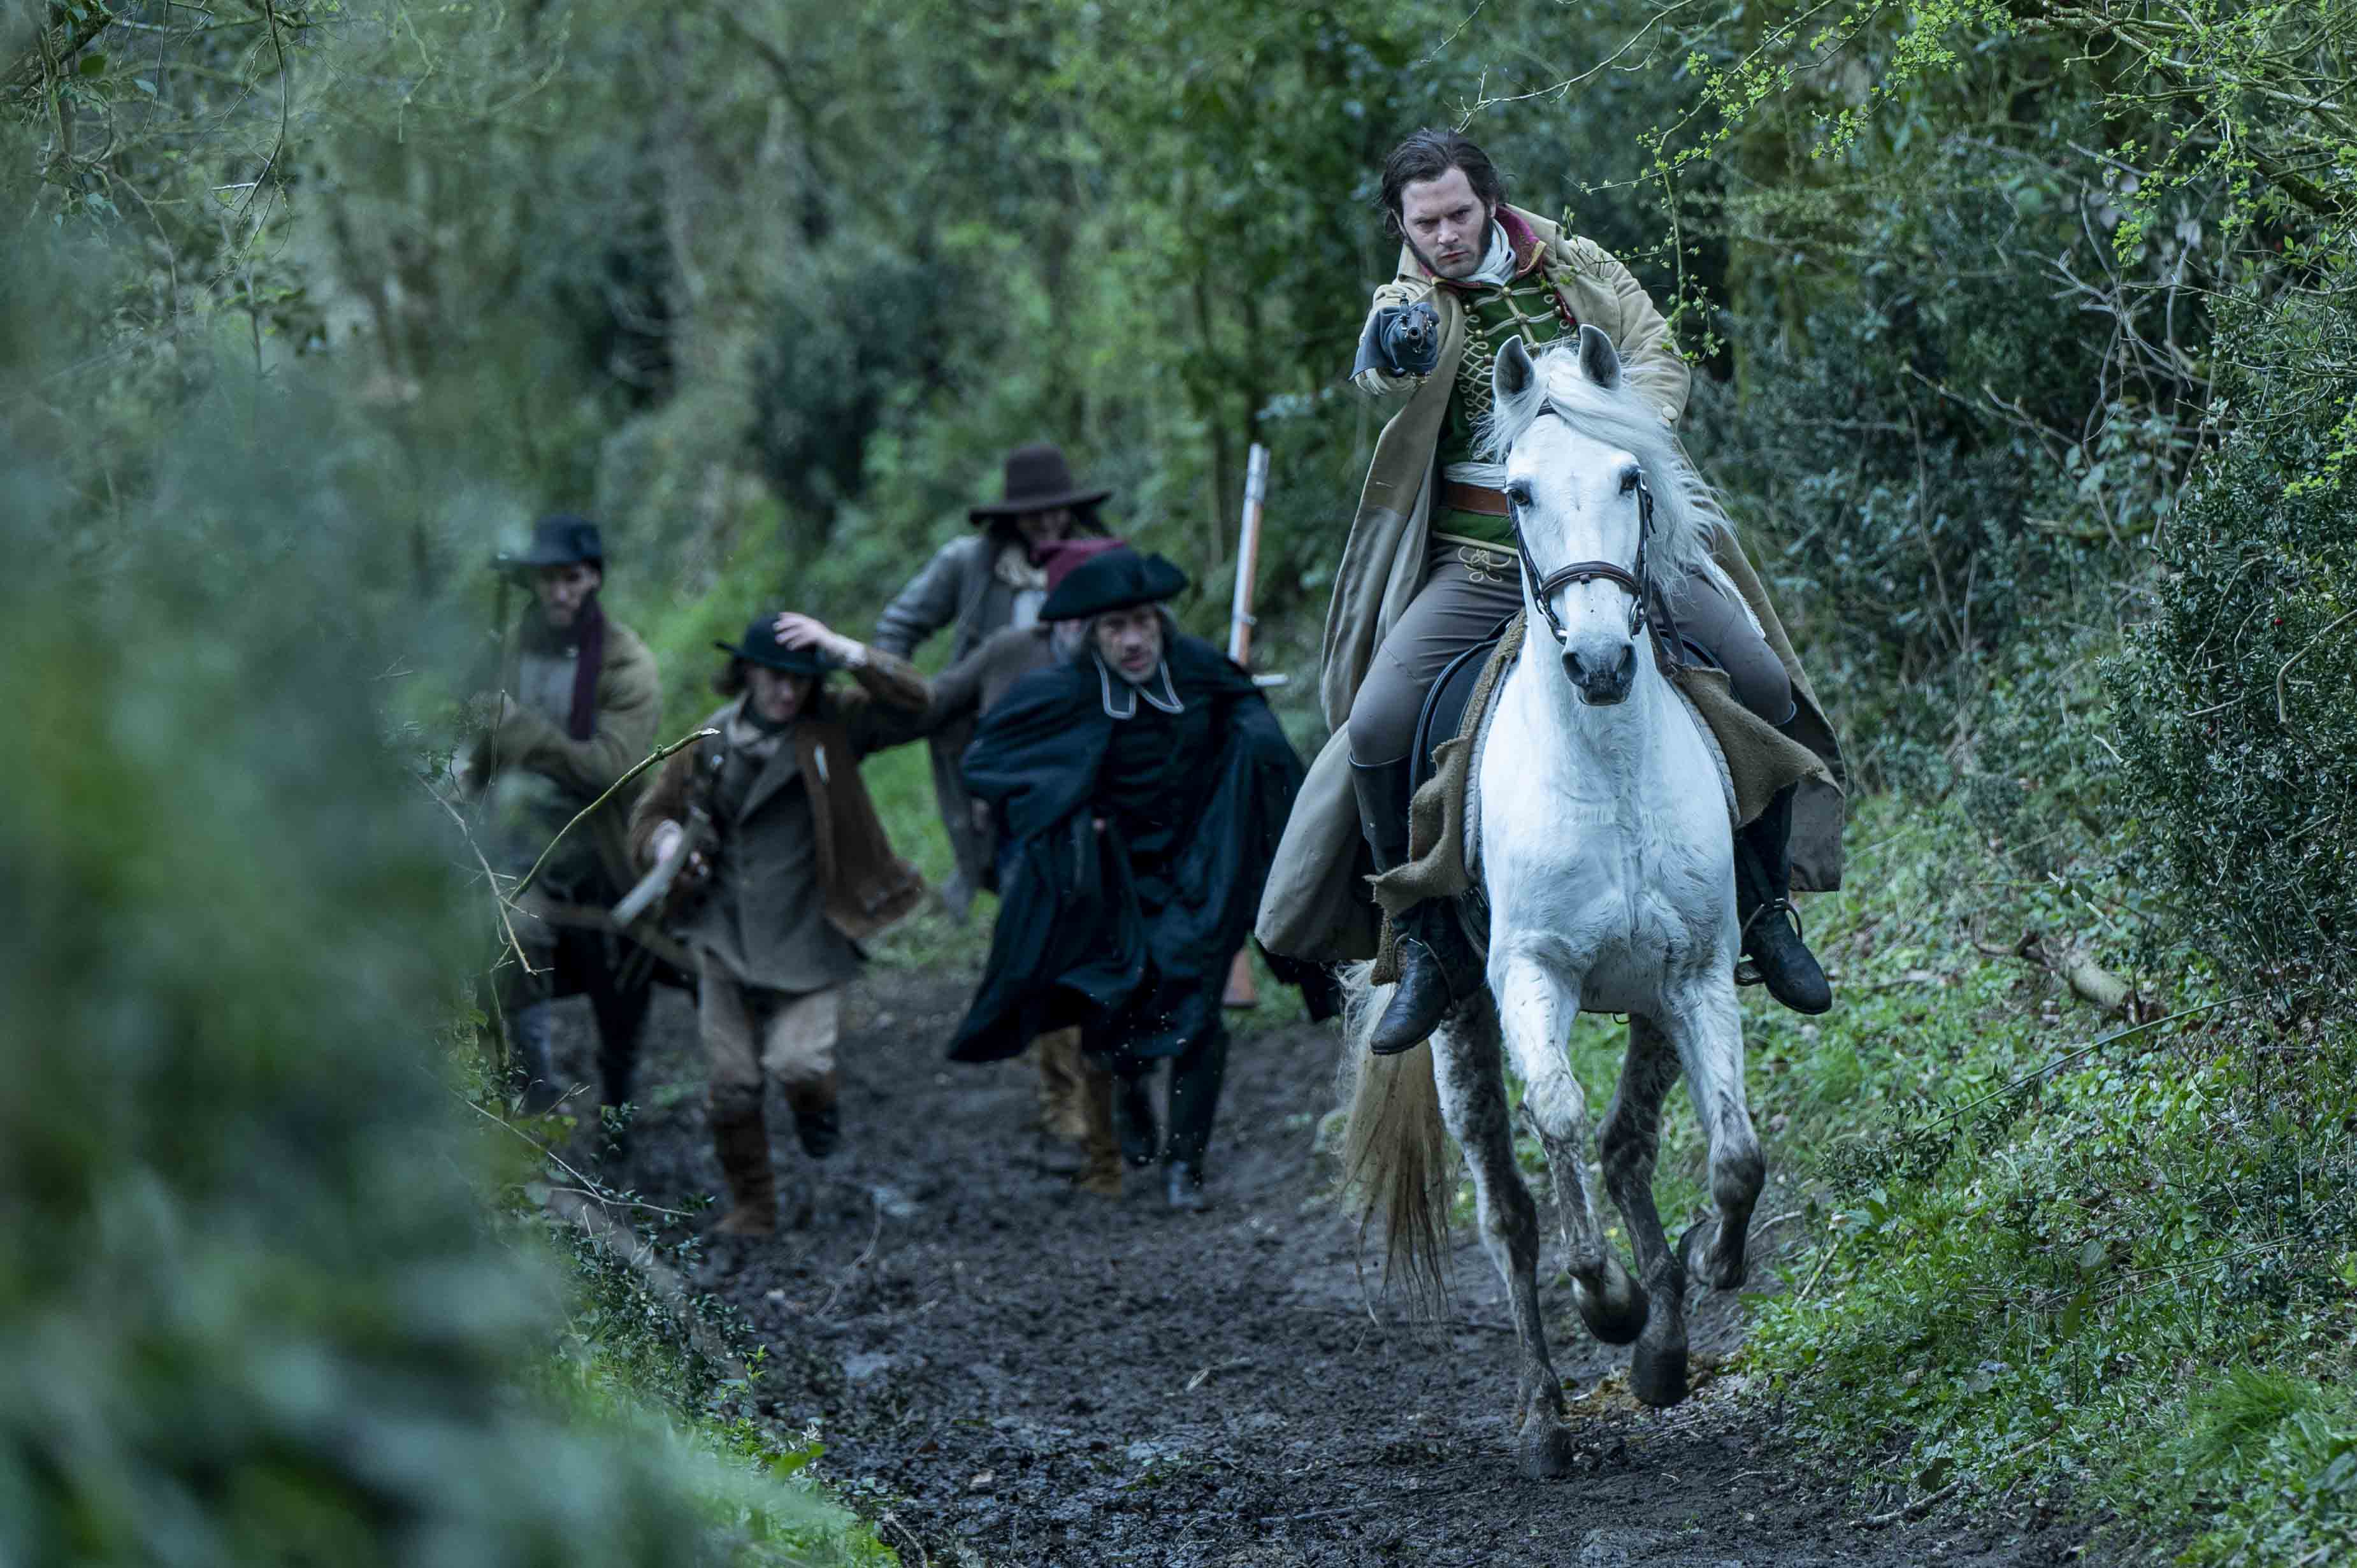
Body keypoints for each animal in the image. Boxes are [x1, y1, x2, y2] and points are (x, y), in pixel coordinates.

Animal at [1348, 330, 1772, 1481]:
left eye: (1628, 478)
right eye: (1519, 493)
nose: (1600, 661)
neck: (1607, 767)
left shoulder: (1695, 973)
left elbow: (1732, 1155)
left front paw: (1706, 1274)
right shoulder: (1531, 977)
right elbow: (1560, 1121)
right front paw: (1608, 1299)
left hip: (1650, 1006)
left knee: (1630, 1145)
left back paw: (1664, 1343)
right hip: (1457, 1019)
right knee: (1508, 1210)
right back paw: (1546, 1411)